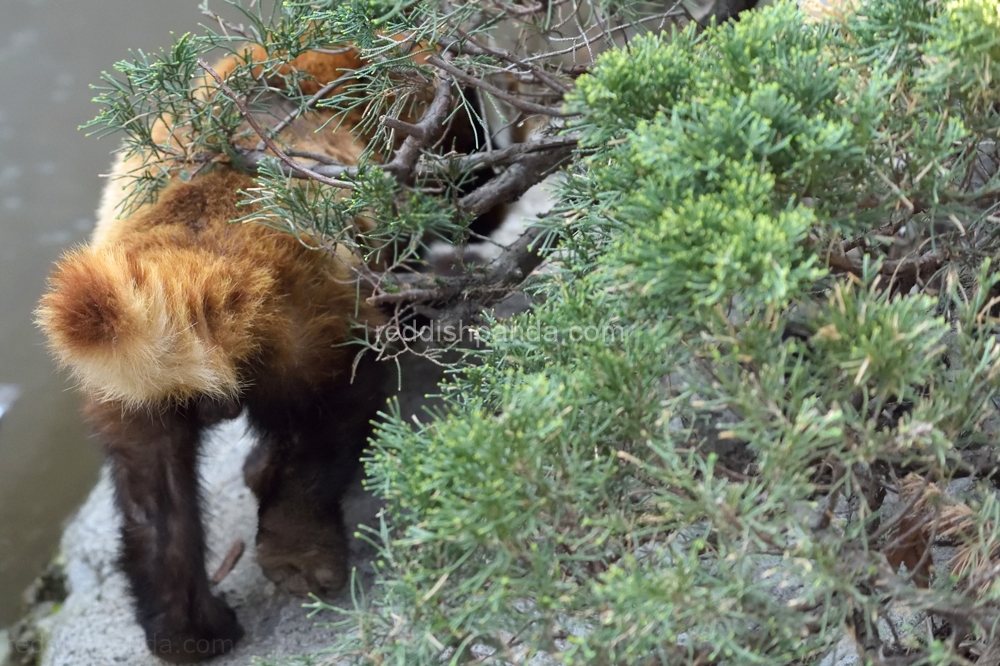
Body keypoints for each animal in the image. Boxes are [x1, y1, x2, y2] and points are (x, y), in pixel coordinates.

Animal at [33, 45, 414, 660]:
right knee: (325, 427)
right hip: (313, 323)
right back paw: (300, 551)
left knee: (152, 500)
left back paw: (187, 629)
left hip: (129, 387)